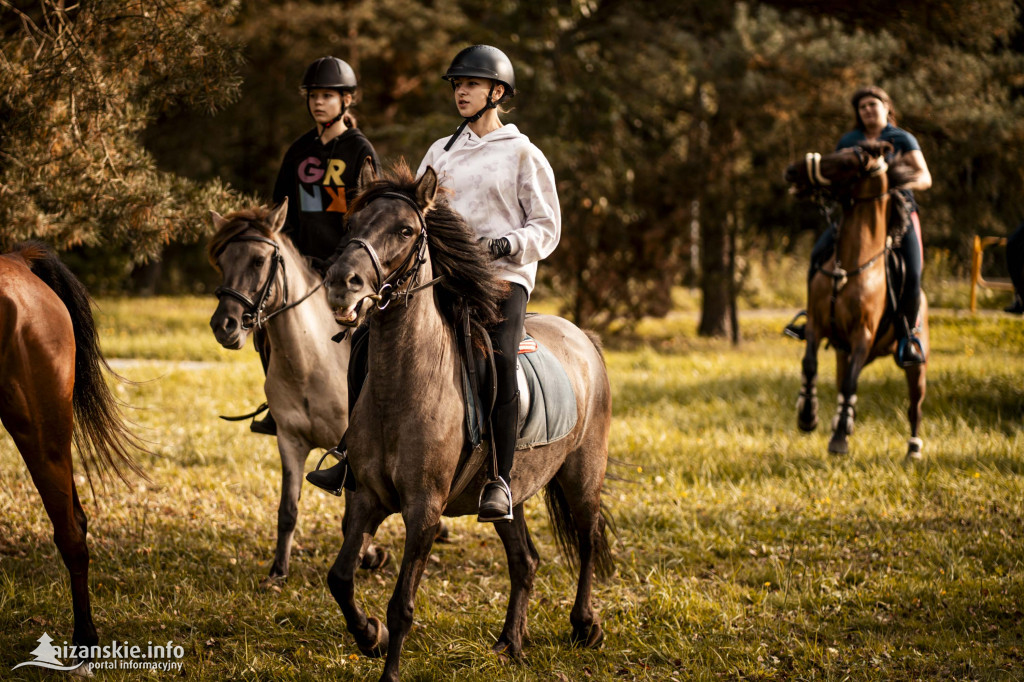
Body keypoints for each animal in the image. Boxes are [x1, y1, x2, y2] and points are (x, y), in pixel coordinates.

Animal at [208, 202, 391, 585]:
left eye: (258, 260)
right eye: (222, 261)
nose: (224, 326)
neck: (311, 364)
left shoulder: (350, 453)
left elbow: (352, 518)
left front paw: (370, 556)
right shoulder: (290, 443)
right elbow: (288, 510)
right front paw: (278, 572)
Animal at [782, 142, 929, 462]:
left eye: (845, 162)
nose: (792, 170)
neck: (851, 265)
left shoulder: (863, 334)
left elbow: (851, 382)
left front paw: (838, 439)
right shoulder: (817, 325)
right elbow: (809, 365)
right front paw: (807, 415)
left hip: (914, 365)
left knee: (914, 405)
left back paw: (912, 449)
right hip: (842, 351)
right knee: (842, 385)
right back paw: (841, 420)